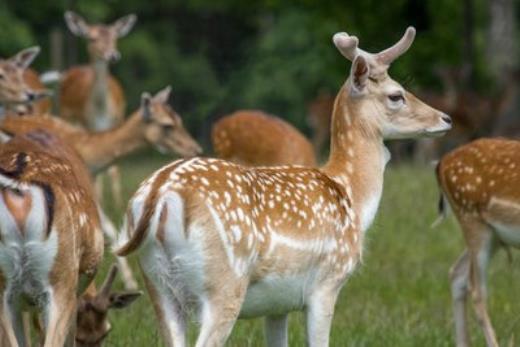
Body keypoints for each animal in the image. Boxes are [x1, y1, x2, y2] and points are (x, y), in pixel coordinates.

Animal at [115, 25, 450, 346]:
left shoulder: (278, 306)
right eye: (397, 95)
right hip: (223, 284)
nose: (445, 118)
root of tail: (159, 194)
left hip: (157, 284)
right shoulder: (327, 283)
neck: (351, 194)